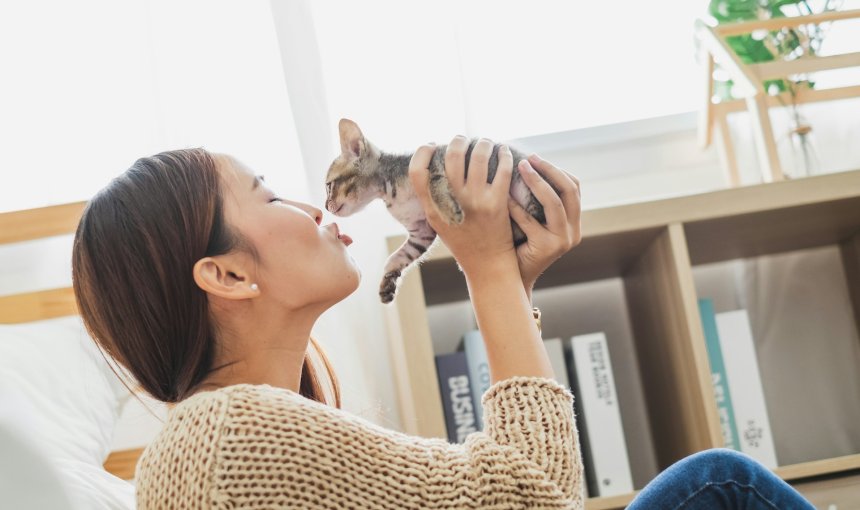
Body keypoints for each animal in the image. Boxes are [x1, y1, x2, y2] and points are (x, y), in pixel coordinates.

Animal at [326, 119, 548, 302]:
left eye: (328, 186)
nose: (326, 206)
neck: (389, 191)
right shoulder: (421, 231)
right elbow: (400, 256)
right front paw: (388, 280)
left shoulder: (436, 156)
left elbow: (434, 181)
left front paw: (449, 210)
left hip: (524, 185)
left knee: (539, 216)